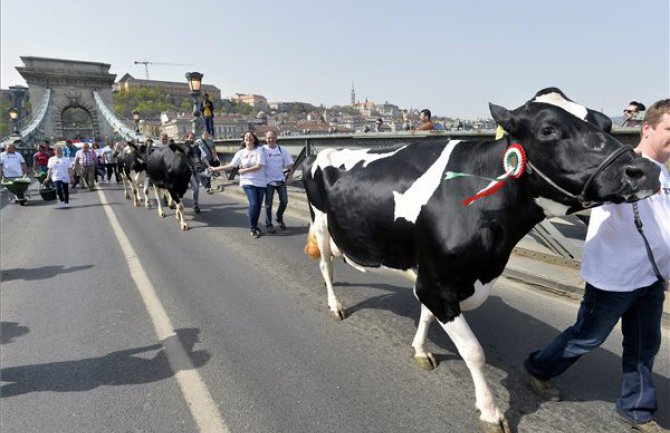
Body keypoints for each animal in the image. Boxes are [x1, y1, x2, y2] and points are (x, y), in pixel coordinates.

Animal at [304, 88, 660, 432]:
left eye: (607, 125)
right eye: (548, 129)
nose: (646, 171)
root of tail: (319, 152)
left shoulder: (435, 276)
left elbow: (427, 316)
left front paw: (421, 350)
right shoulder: (438, 284)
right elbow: (473, 352)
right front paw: (490, 411)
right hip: (321, 223)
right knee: (325, 266)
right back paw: (335, 305)